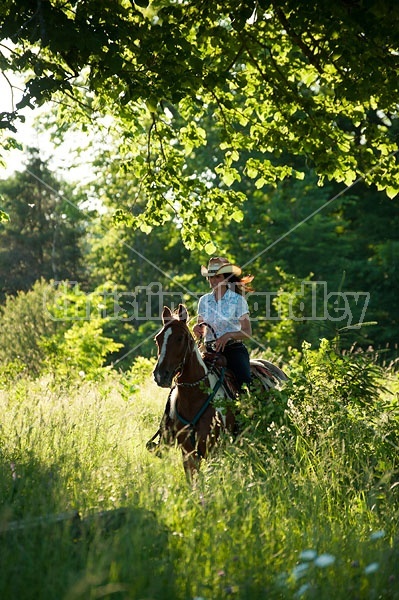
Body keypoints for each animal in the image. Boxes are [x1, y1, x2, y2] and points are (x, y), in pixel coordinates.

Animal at [153, 304, 288, 478]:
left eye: (180, 338)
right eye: (158, 338)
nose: (160, 375)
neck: (194, 398)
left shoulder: (213, 450)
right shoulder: (188, 454)